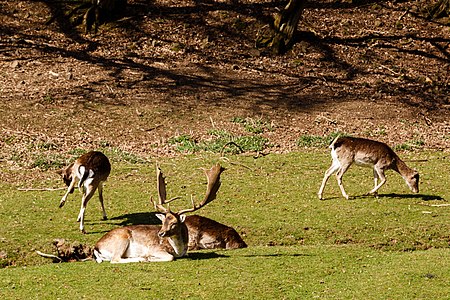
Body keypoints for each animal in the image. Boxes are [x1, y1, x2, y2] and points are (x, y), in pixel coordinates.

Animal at [92, 163, 225, 264]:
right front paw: (149, 257)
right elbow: (170, 257)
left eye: (174, 223)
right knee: (115, 259)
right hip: (122, 239)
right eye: (163, 221)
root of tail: (97, 247)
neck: (179, 250)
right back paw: (142, 258)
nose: (160, 233)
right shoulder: (154, 248)